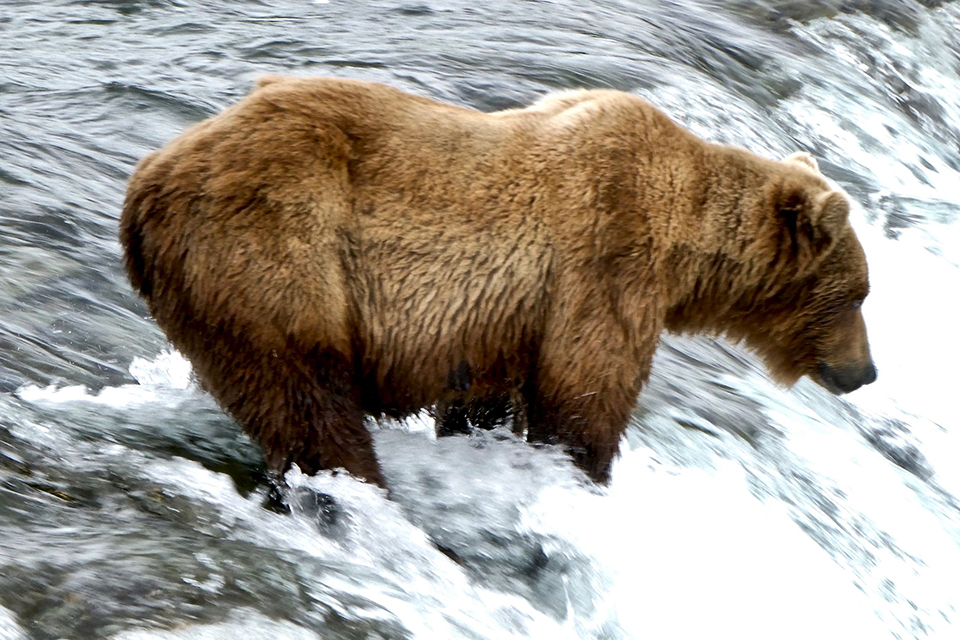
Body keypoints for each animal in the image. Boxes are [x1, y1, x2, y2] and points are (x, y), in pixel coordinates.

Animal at [120, 76, 876, 487]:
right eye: (857, 295)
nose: (865, 371)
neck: (684, 242)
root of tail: (147, 181)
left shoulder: (499, 320)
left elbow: (482, 398)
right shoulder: (606, 255)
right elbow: (584, 392)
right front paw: (583, 474)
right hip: (275, 248)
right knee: (306, 395)